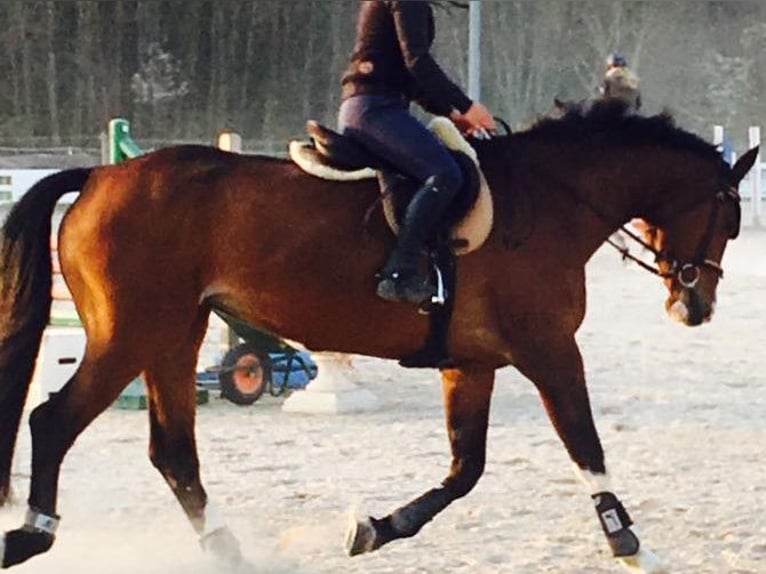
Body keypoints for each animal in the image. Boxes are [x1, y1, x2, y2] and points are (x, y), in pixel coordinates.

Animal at [0, 104, 760, 574]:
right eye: (728, 217)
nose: (695, 306)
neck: (549, 199)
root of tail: (101, 174)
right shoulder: (548, 351)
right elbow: (586, 445)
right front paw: (630, 544)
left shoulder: (471, 364)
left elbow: (464, 470)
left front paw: (373, 529)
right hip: (131, 335)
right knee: (54, 420)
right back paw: (32, 533)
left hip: (172, 338)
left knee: (173, 453)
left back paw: (228, 551)